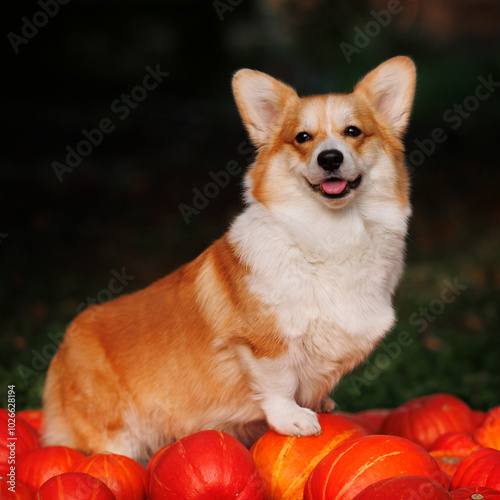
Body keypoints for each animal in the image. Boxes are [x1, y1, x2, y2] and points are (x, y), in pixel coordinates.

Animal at [43, 56, 416, 462]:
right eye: (303, 138)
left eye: (353, 131)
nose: (330, 158)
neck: (331, 234)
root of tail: (60, 354)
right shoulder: (262, 344)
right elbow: (279, 383)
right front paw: (293, 418)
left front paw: (321, 403)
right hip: (118, 437)